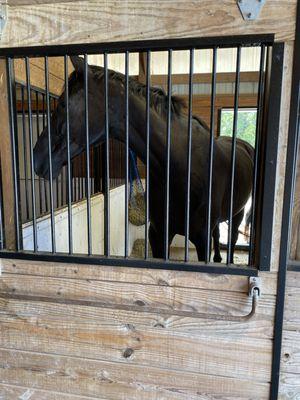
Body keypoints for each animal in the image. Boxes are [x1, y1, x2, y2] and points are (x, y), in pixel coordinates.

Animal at [33, 55, 253, 262]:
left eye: (63, 104)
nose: (36, 157)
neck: (183, 168)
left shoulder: (201, 239)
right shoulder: (158, 234)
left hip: (238, 214)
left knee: (232, 238)